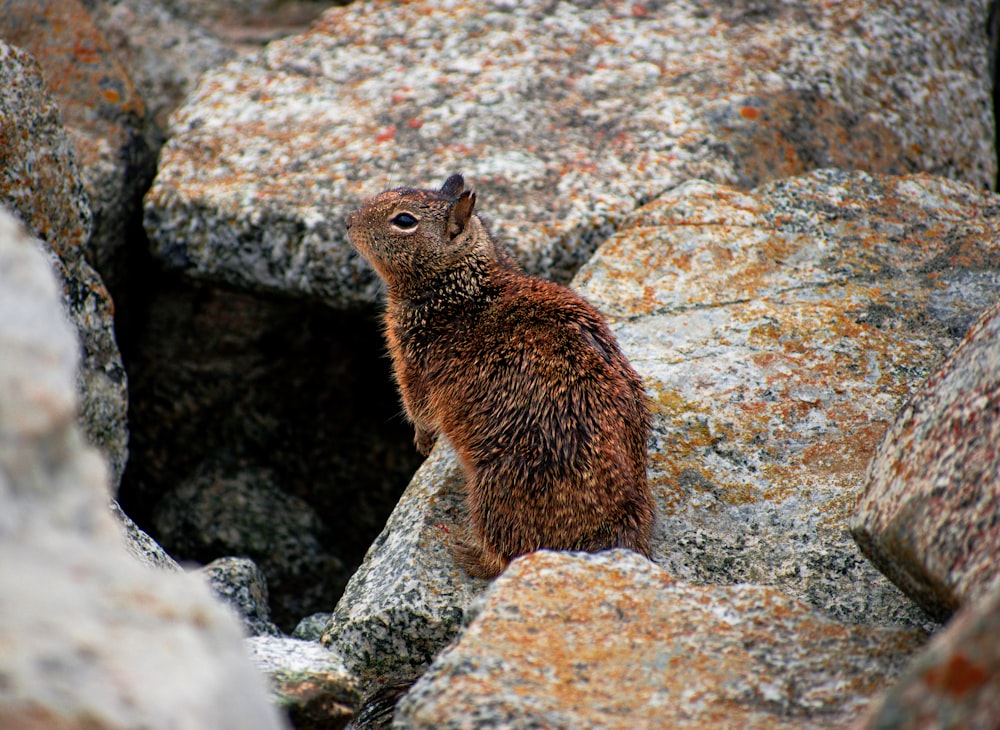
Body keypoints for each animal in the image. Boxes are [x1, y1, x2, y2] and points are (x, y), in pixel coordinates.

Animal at [346, 172, 656, 576]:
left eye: (404, 220)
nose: (348, 221)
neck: (459, 278)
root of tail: (623, 524)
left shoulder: (412, 367)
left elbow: (418, 410)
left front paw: (424, 443)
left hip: (493, 490)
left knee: (508, 556)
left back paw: (466, 554)